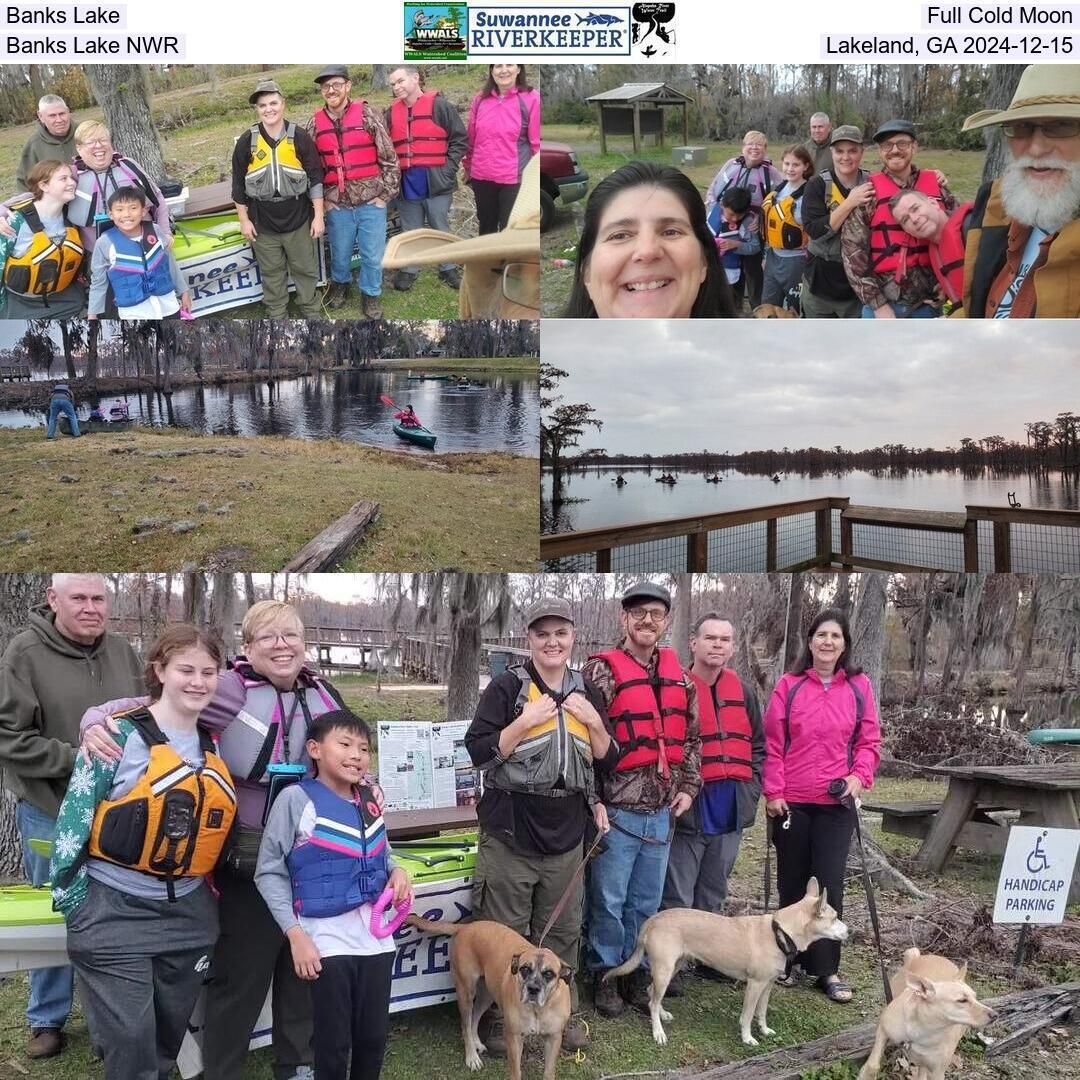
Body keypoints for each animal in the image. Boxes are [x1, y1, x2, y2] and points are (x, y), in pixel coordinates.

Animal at [406, 915, 574, 1080]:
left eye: (549, 973)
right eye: (524, 969)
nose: (533, 989)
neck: (538, 1009)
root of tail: (467, 926)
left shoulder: (553, 1039)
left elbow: (549, 1072)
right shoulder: (514, 1038)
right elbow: (515, 1072)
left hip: (486, 995)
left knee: (474, 1018)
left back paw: (476, 1043)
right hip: (466, 992)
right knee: (465, 1025)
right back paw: (472, 1057)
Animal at [609, 876, 842, 1045]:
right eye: (834, 918)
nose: (847, 931)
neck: (781, 932)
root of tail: (653, 919)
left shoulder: (767, 985)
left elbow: (761, 1012)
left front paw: (765, 1030)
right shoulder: (755, 985)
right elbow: (748, 1015)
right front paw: (747, 1038)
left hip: (673, 966)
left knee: (652, 995)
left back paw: (663, 1014)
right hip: (664, 970)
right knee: (652, 1001)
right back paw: (658, 1033)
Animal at [855, 946, 989, 1080]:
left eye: (975, 997)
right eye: (962, 1000)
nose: (993, 1014)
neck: (924, 1029)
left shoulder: (937, 1072)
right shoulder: (883, 1030)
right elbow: (873, 1064)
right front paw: (865, 1075)